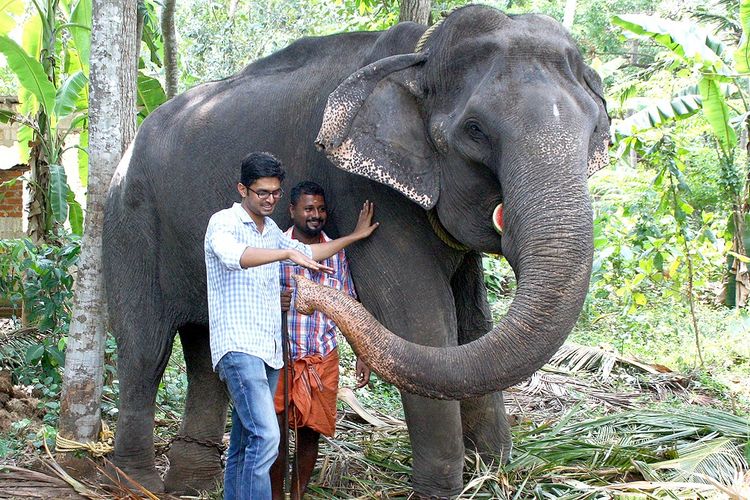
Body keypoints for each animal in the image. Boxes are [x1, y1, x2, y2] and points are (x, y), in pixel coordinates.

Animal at [103, 3, 608, 496]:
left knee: (206, 350)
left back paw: (190, 484)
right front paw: (442, 490)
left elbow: (473, 320)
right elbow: (419, 320)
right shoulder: (363, 190)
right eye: (475, 130)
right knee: (144, 351)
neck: (422, 54)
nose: (303, 296)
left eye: (594, 130)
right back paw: (138, 484)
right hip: (129, 221)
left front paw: (498, 471)